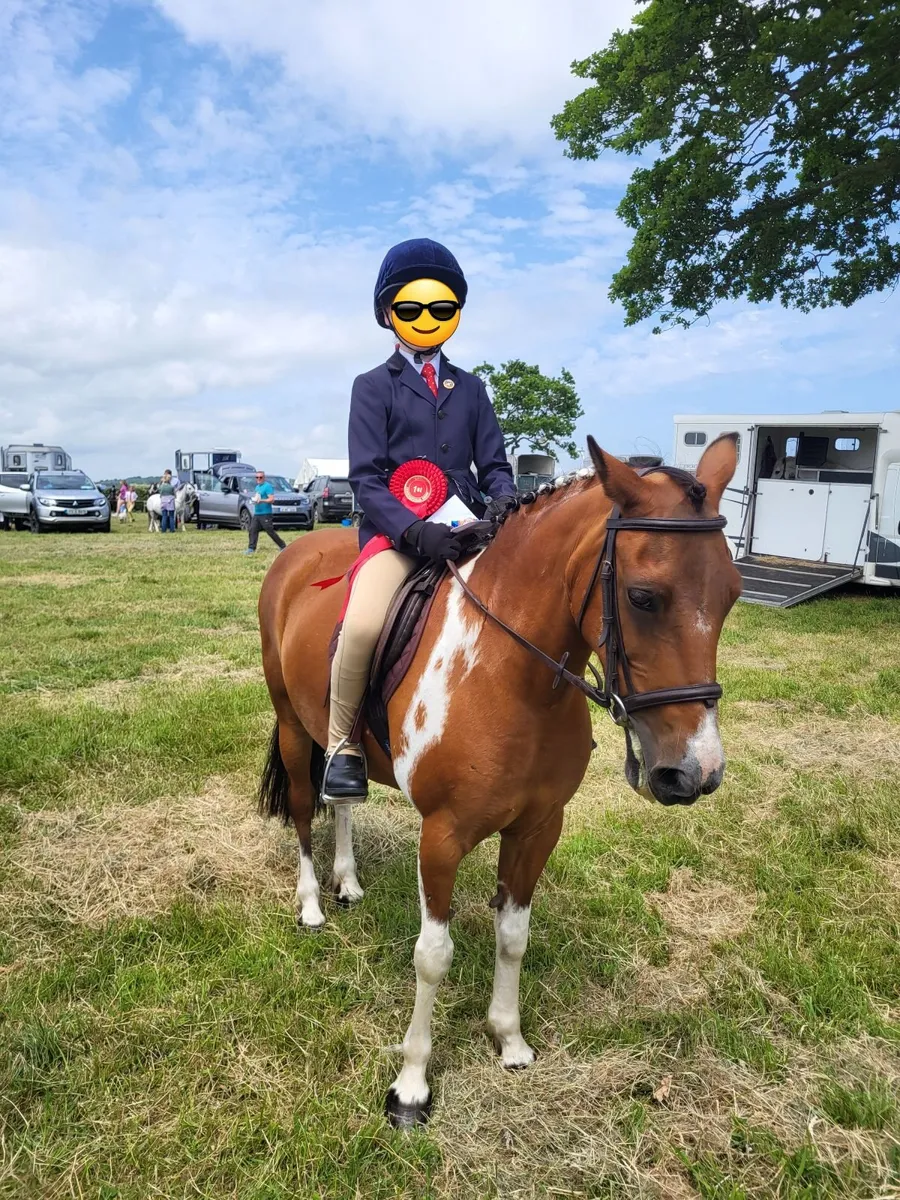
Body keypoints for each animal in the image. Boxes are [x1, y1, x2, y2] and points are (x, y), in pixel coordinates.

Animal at [256, 434, 741, 1127]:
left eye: (732, 594)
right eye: (644, 597)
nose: (696, 771)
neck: (513, 675)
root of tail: (298, 552)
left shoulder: (538, 829)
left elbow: (513, 936)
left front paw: (508, 1040)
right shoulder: (442, 836)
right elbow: (433, 956)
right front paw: (411, 1087)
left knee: (339, 794)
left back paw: (346, 882)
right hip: (293, 724)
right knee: (302, 806)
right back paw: (313, 905)